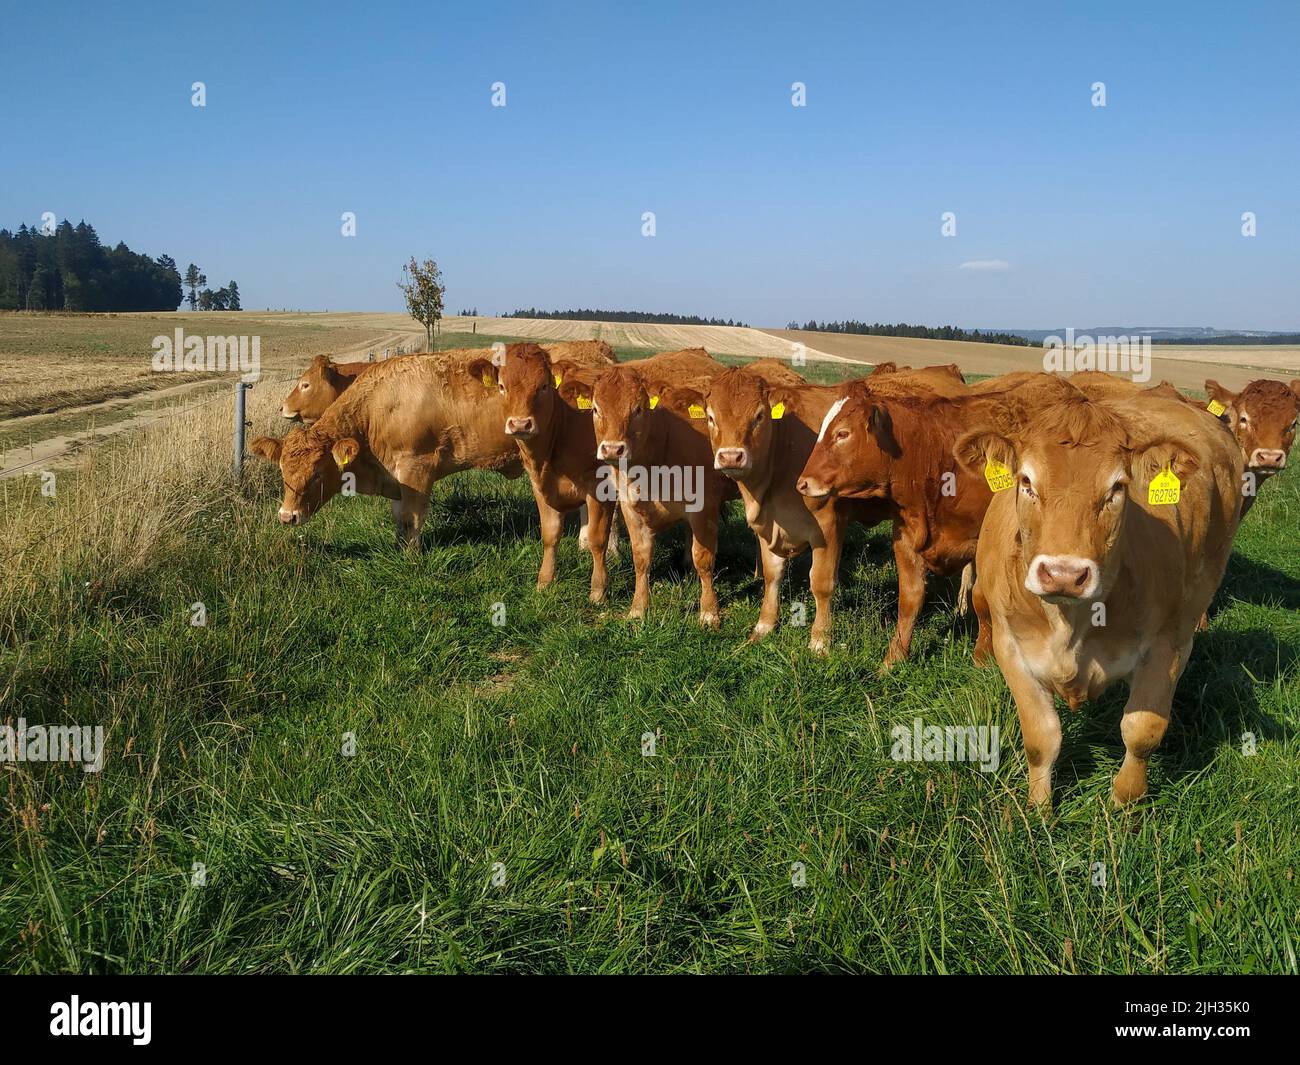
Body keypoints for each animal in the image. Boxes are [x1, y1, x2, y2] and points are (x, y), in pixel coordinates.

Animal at [251, 349, 523, 547]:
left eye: (317, 474)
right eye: (282, 472)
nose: (287, 516)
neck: (376, 410)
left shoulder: (416, 471)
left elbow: (411, 520)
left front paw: (411, 557)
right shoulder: (396, 479)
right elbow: (399, 519)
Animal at [953, 386, 1243, 806]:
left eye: (1116, 488)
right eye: (1026, 481)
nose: (1064, 574)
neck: (1068, 623)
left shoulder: (1170, 644)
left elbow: (1142, 731)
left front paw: (1124, 805)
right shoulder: (1012, 646)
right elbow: (1041, 738)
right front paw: (1038, 807)